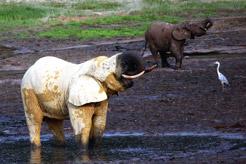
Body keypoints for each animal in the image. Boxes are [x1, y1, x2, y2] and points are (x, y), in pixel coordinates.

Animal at [20, 52, 154, 149]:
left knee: (55, 124)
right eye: (107, 67)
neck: (90, 68)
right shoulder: (77, 99)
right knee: (34, 121)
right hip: (28, 91)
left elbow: (100, 123)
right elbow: (83, 127)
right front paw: (83, 151)